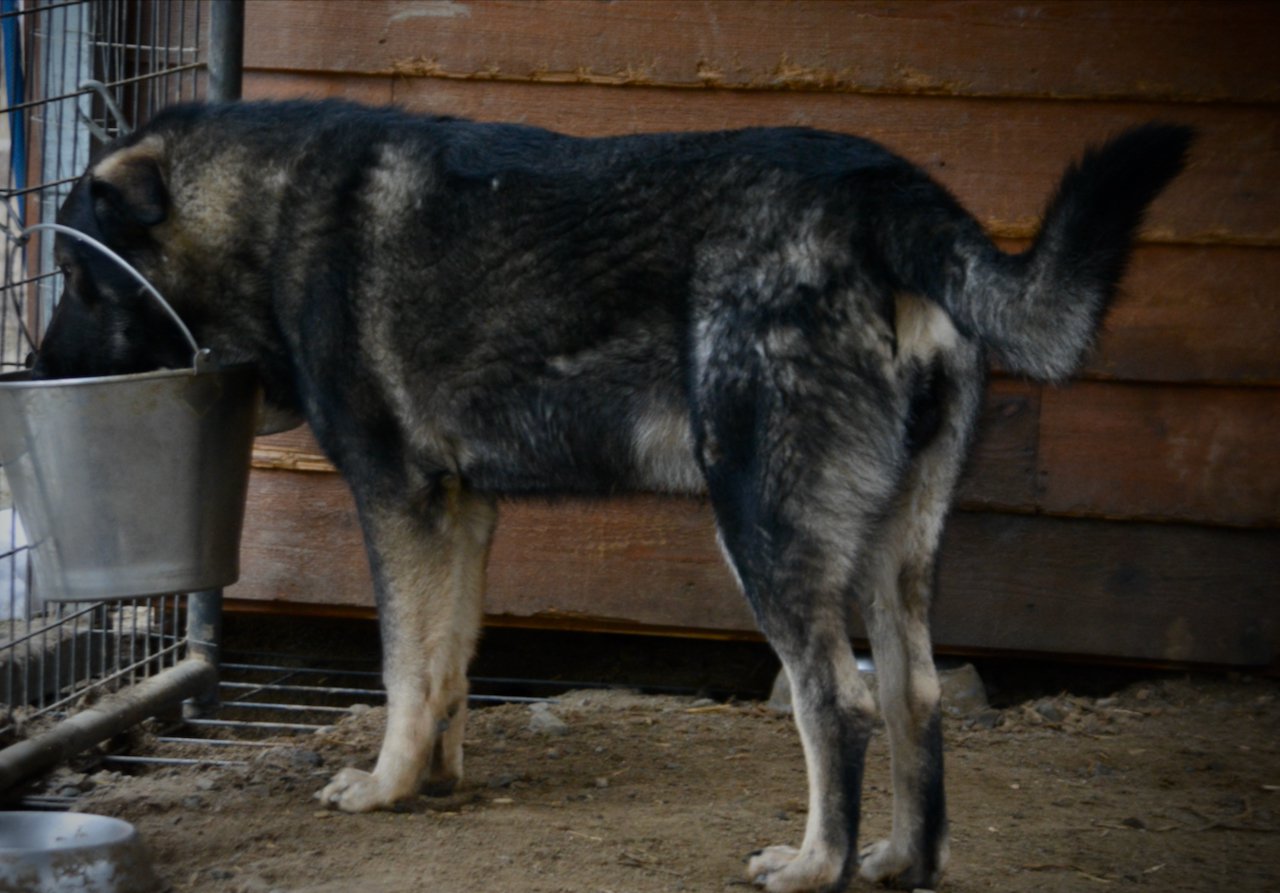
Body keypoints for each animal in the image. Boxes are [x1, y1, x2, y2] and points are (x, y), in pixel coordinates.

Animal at [32, 99, 1187, 890]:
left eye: (82, 281)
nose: (37, 376)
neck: (267, 211)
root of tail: (882, 191)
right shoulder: (459, 513)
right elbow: (446, 663)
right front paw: (435, 777)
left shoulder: (396, 498)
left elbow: (402, 663)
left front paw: (385, 785)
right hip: (885, 551)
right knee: (913, 694)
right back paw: (904, 856)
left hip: (761, 531)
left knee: (838, 700)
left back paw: (814, 862)